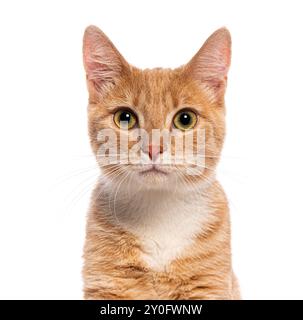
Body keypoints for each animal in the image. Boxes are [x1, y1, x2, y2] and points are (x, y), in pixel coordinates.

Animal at [82, 25, 241, 300]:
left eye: (185, 119)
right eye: (125, 118)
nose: (153, 148)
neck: (158, 213)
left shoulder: (209, 284)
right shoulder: (106, 282)